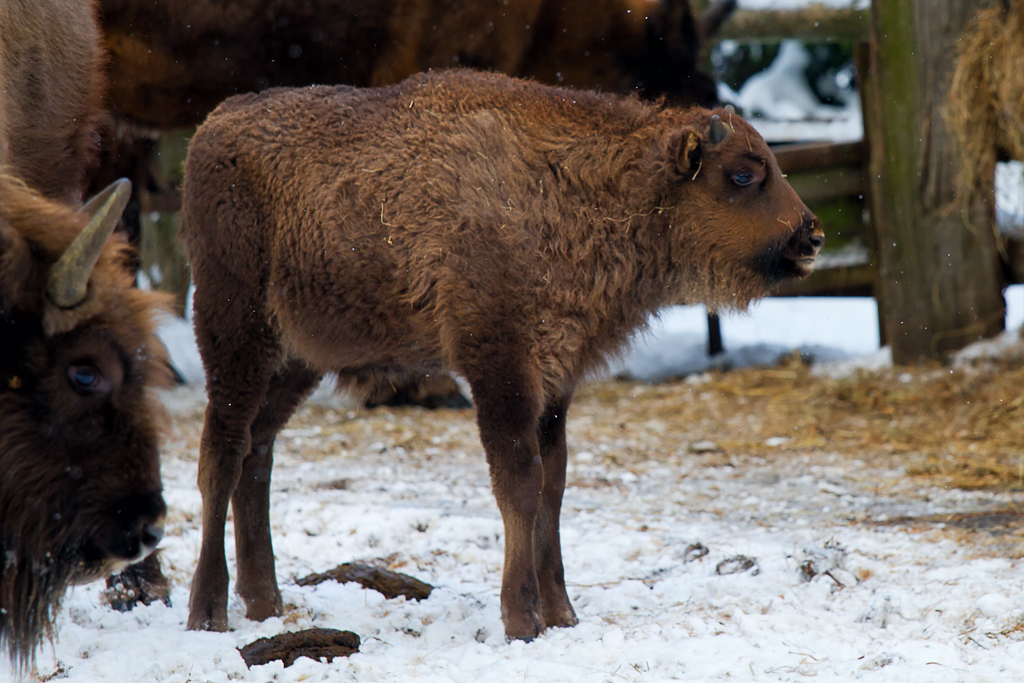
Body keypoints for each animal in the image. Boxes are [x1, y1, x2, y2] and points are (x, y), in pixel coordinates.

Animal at [184, 69, 823, 643]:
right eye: (742, 175)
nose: (811, 237)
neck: (588, 186)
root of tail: (211, 127)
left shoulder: (556, 382)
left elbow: (553, 486)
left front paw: (563, 614)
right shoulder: (500, 367)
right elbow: (520, 481)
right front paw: (523, 620)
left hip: (297, 360)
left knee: (258, 452)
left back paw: (266, 605)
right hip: (234, 332)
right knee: (222, 452)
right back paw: (208, 612)